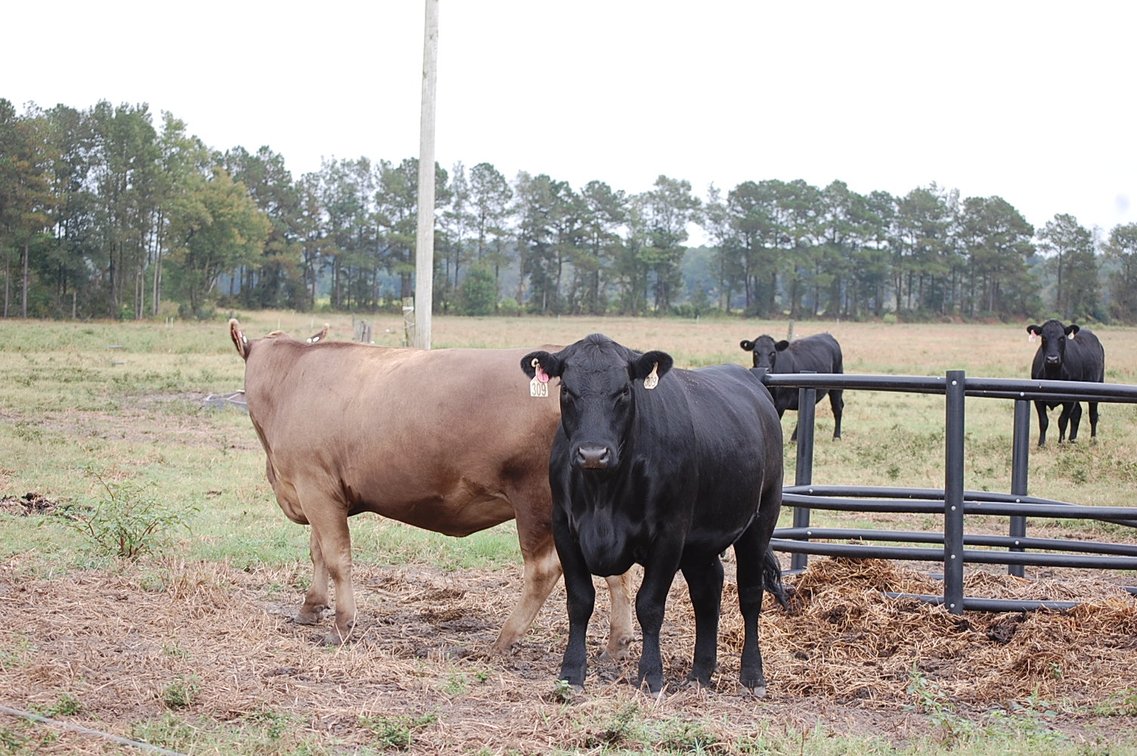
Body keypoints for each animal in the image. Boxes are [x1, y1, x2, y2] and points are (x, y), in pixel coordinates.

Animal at [228, 320, 634, 654]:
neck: (289, 381)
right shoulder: (316, 491)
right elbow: (317, 552)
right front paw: (310, 606)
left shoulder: (316, 487)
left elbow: (336, 557)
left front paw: (341, 626)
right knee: (614, 567)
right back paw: (616, 644)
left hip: (534, 499)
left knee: (542, 570)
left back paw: (503, 640)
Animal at [521, 333, 785, 694]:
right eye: (566, 391)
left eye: (624, 391)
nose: (593, 453)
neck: (603, 494)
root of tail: (751, 380)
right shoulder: (565, 529)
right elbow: (580, 601)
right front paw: (571, 672)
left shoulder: (669, 534)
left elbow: (649, 605)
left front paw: (650, 674)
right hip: (701, 544)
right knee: (707, 592)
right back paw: (700, 673)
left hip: (761, 521)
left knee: (750, 594)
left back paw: (753, 675)